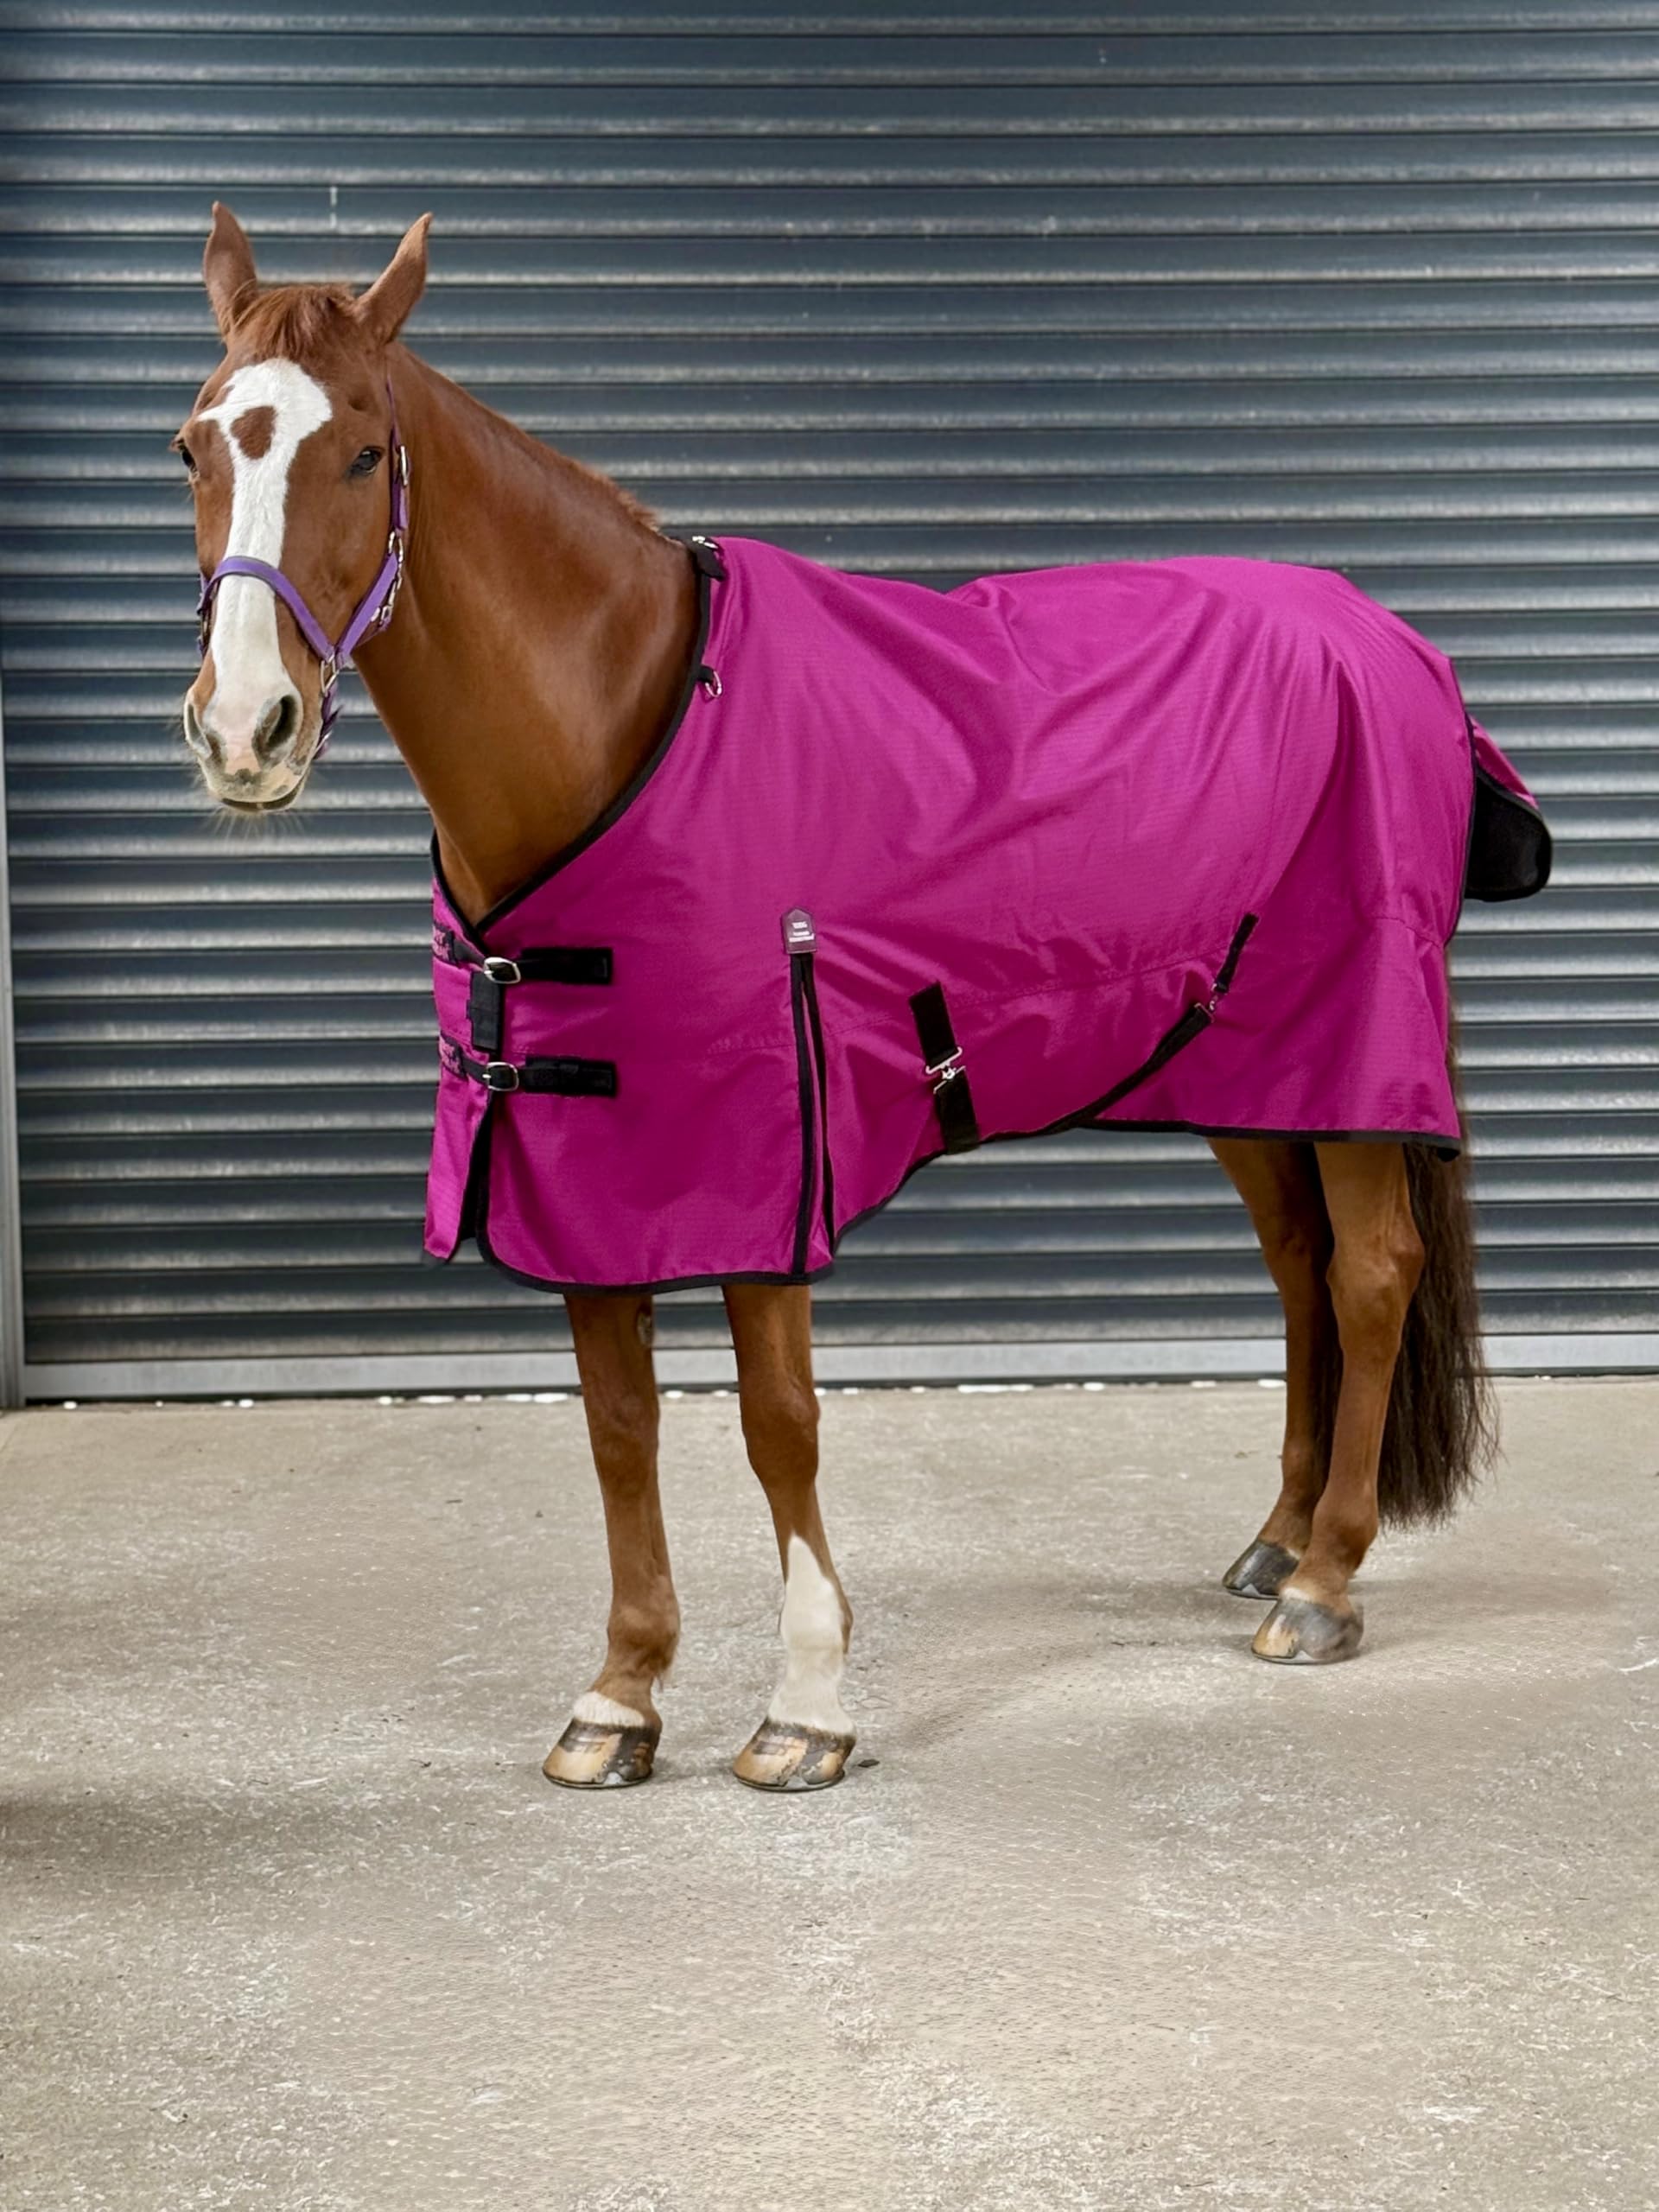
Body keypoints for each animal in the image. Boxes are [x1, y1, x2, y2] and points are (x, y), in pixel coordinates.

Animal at [175, 206, 1515, 1794]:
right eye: (194, 448)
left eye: (364, 451)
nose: (244, 731)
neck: (627, 715)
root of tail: (1394, 641)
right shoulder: (588, 1164)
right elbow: (619, 1428)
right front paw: (620, 1698)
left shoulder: (766, 1151)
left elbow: (778, 1425)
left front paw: (806, 1704)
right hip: (1246, 1066)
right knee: (1302, 1267)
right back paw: (1277, 1541)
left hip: (1354, 1052)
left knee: (1370, 1276)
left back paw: (1323, 1585)